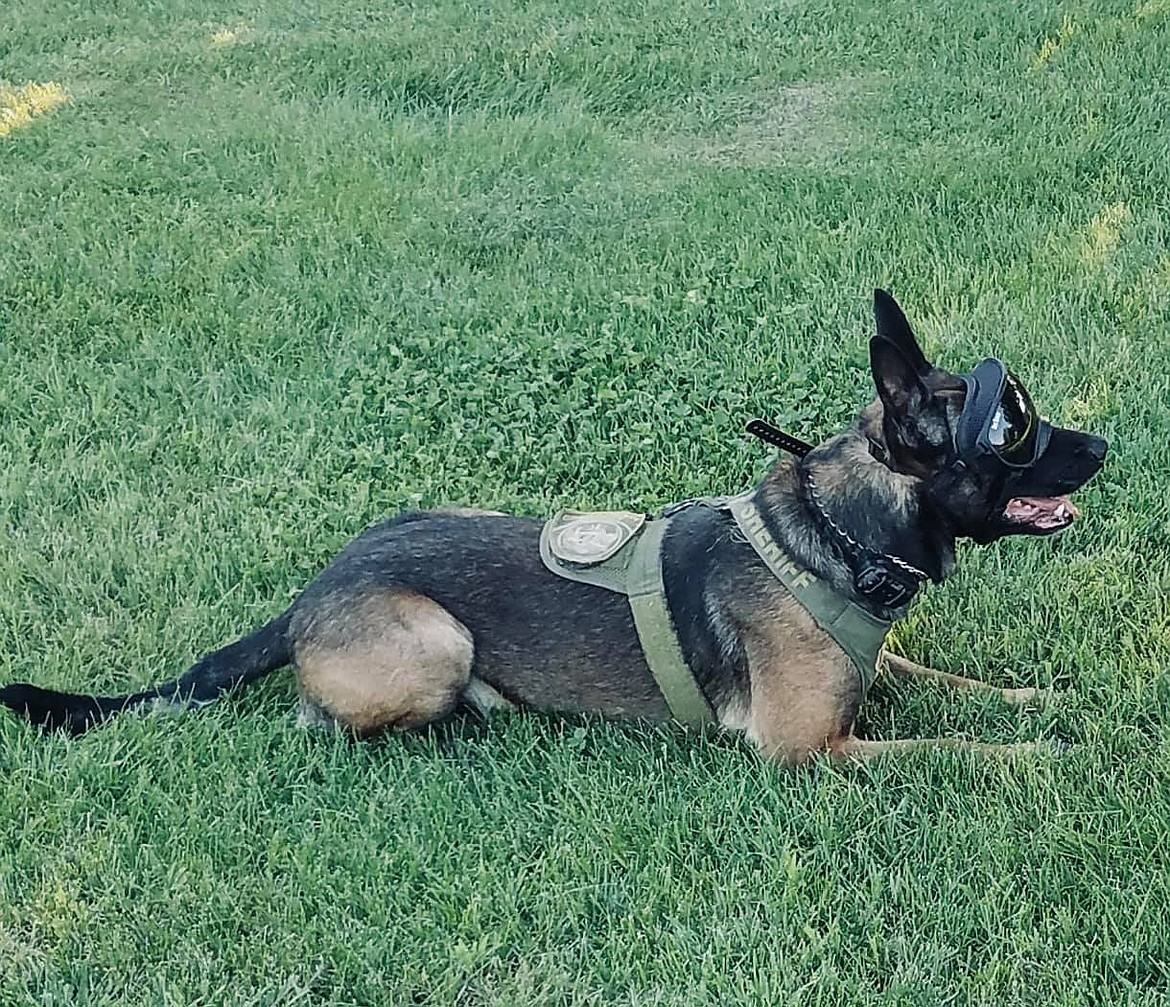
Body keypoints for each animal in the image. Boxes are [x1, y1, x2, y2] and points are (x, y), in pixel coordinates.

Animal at [0, 291, 1109, 762]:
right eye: (1015, 427)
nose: (1105, 445)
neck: (834, 534)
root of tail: (308, 595)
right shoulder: (806, 752)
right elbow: (946, 751)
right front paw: (1039, 756)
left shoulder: (881, 667)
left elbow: (959, 687)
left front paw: (1042, 699)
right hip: (433, 642)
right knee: (330, 722)